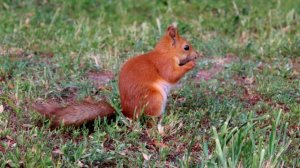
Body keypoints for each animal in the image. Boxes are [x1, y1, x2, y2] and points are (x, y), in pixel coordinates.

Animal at [32, 24, 200, 127]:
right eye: (186, 47)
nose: (197, 55)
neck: (166, 52)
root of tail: (127, 113)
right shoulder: (164, 64)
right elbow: (171, 75)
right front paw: (191, 64)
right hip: (155, 98)